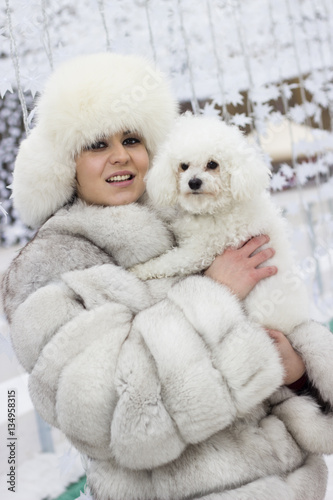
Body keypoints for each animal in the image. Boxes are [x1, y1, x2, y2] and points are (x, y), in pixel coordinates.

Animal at [131, 113, 308, 332]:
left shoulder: (199, 252)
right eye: (184, 165)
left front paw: (139, 270)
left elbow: (167, 263)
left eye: (213, 164)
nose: (194, 182)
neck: (213, 209)